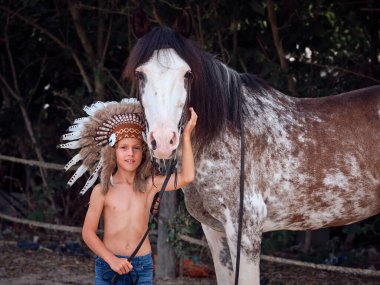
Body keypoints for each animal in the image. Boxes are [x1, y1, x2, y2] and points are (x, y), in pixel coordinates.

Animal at [123, 9, 380, 284]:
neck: (225, 132)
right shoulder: (214, 231)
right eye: (140, 74)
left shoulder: (245, 229)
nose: (163, 140)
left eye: (187, 74)